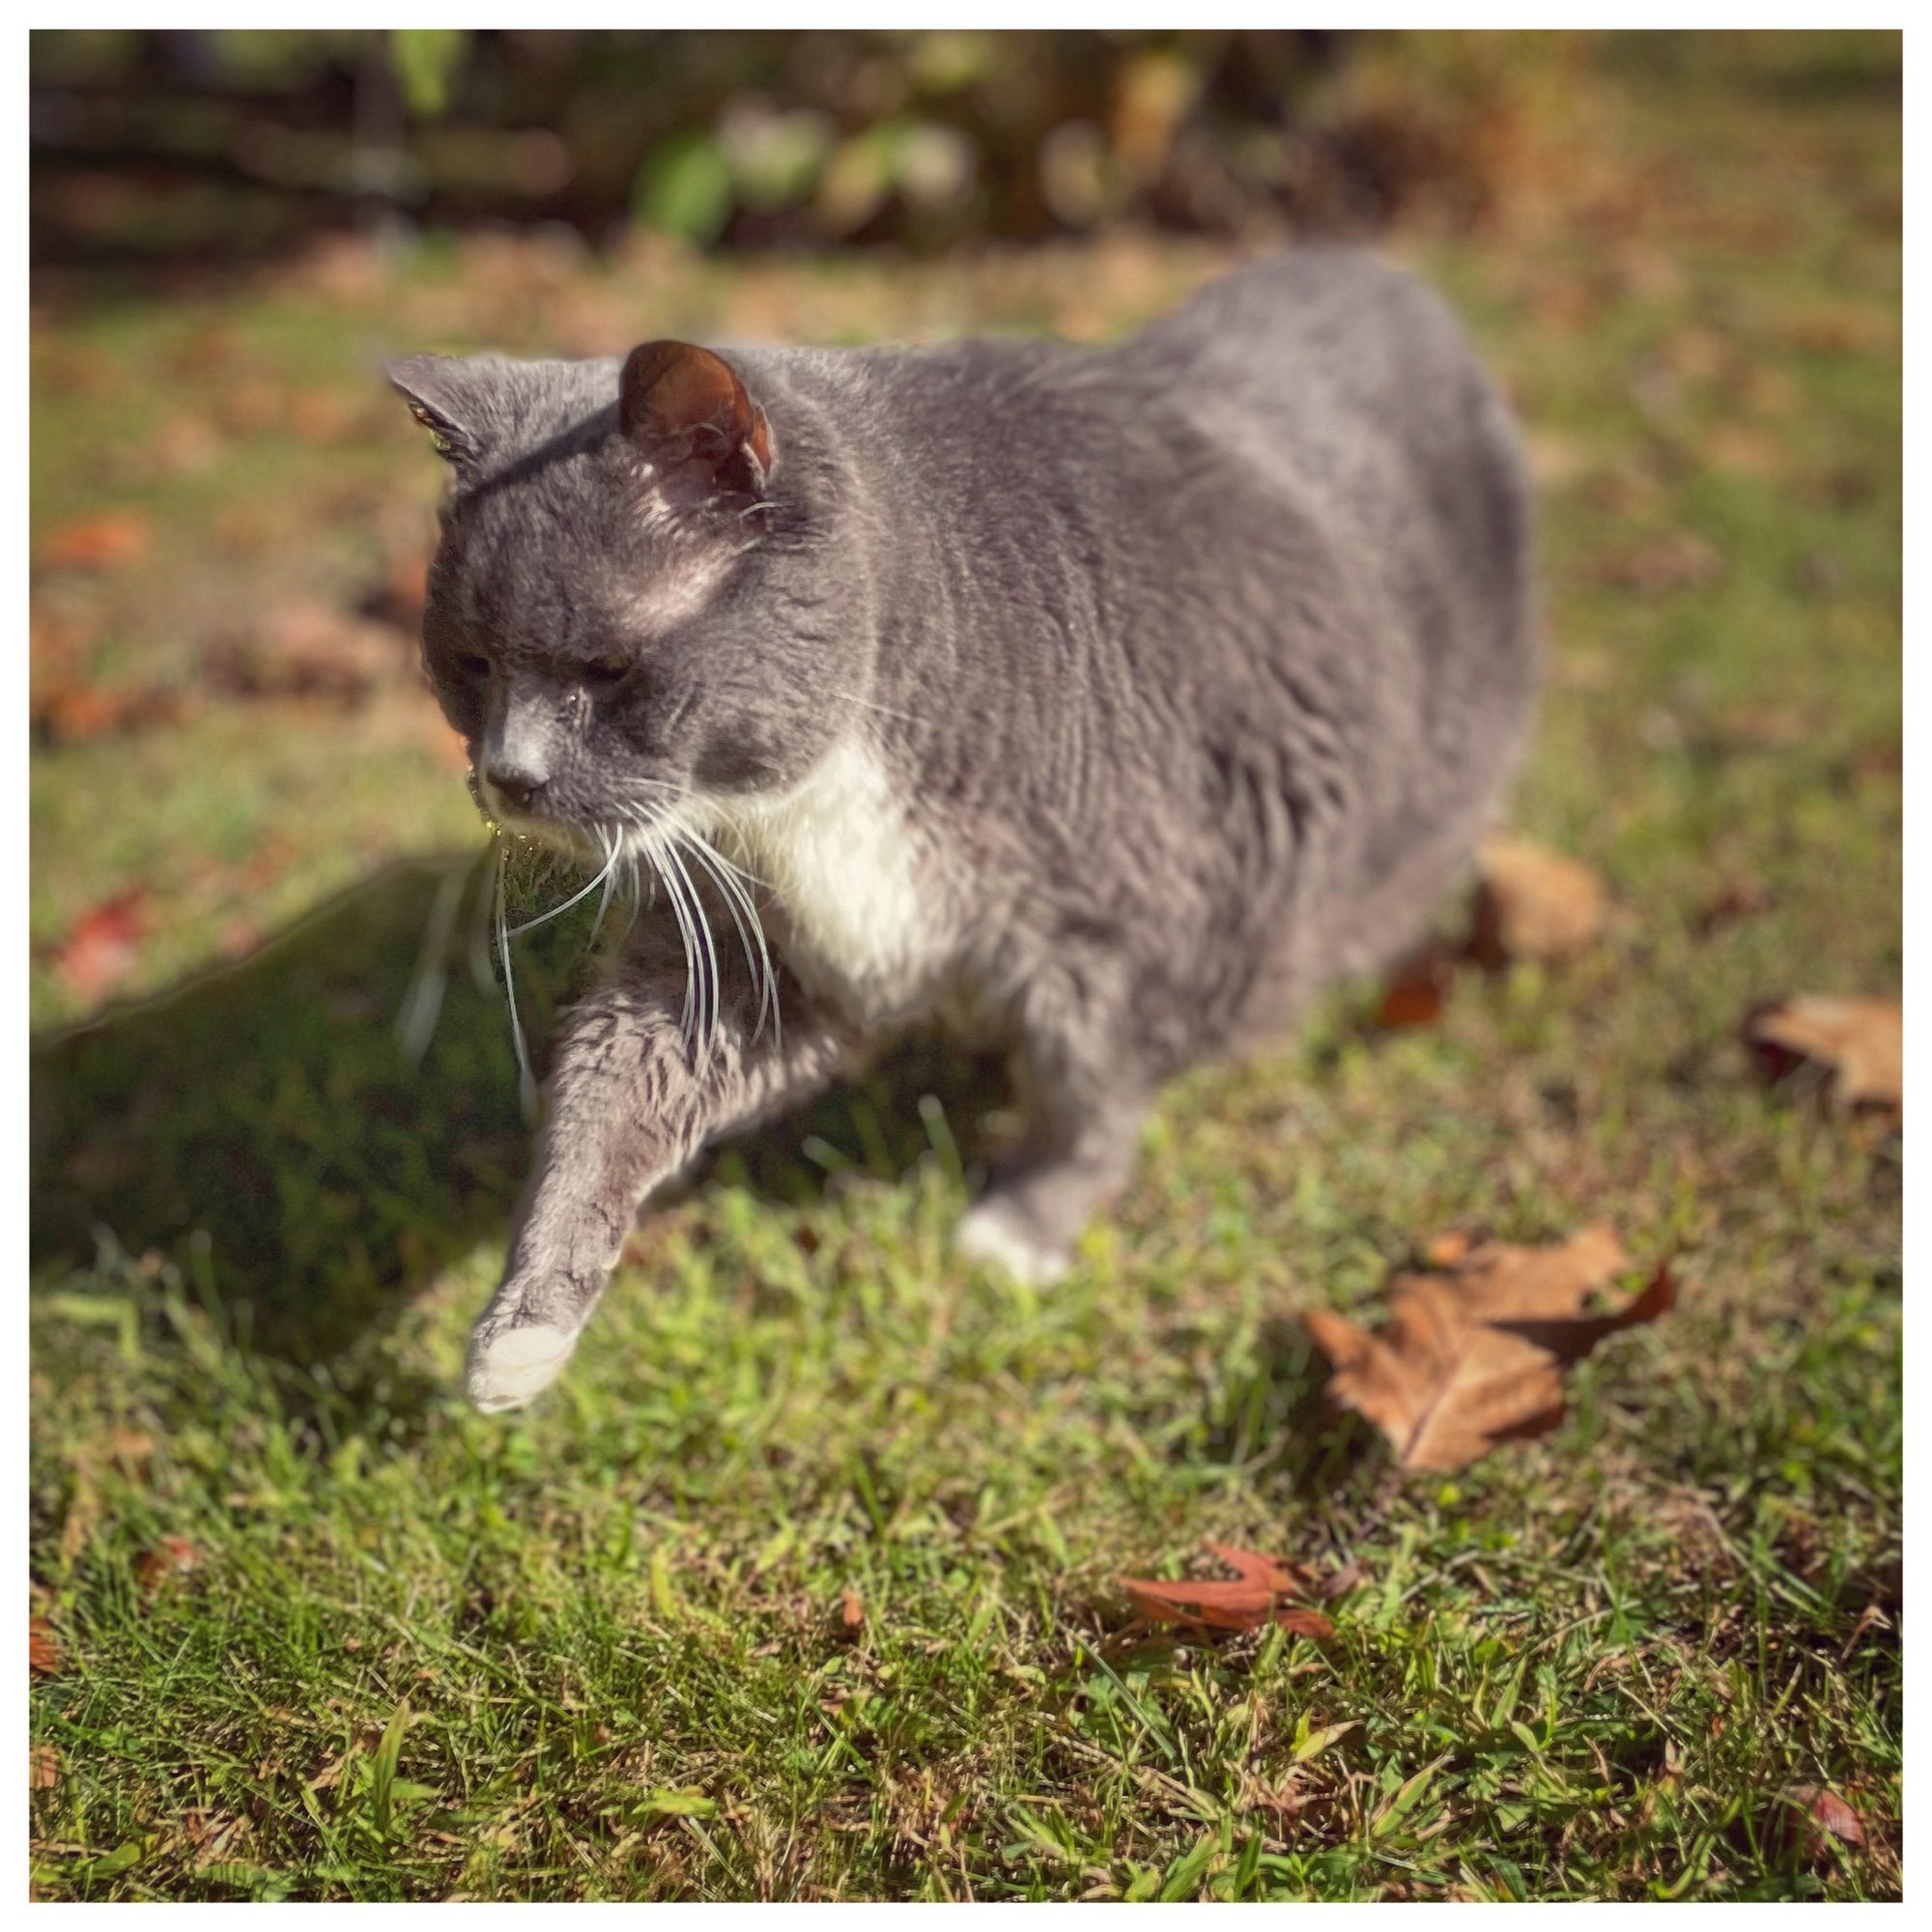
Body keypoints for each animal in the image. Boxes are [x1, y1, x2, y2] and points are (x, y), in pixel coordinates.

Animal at [388, 249, 1538, 1414]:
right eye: (467, 661)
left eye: (610, 667)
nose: (510, 774)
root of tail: (1380, 273)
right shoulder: (763, 945)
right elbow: (607, 1097)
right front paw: (520, 1331)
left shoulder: (1137, 918)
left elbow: (1091, 1095)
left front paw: (1019, 1234)